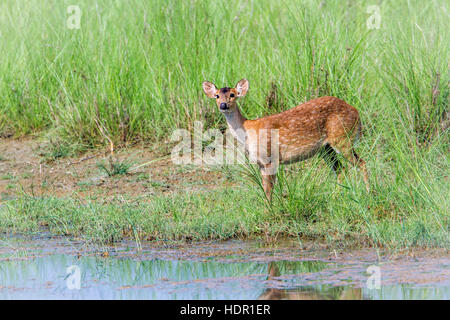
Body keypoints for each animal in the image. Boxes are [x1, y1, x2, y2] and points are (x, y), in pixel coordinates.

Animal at [204, 79, 370, 201]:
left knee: (361, 163)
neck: (248, 130)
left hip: (342, 138)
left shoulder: (269, 157)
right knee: (340, 168)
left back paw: (369, 192)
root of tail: (356, 113)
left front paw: (270, 211)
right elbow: (265, 188)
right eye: (217, 96)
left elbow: (269, 190)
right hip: (326, 148)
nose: (223, 105)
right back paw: (336, 196)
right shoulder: (261, 163)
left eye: (233, 94)